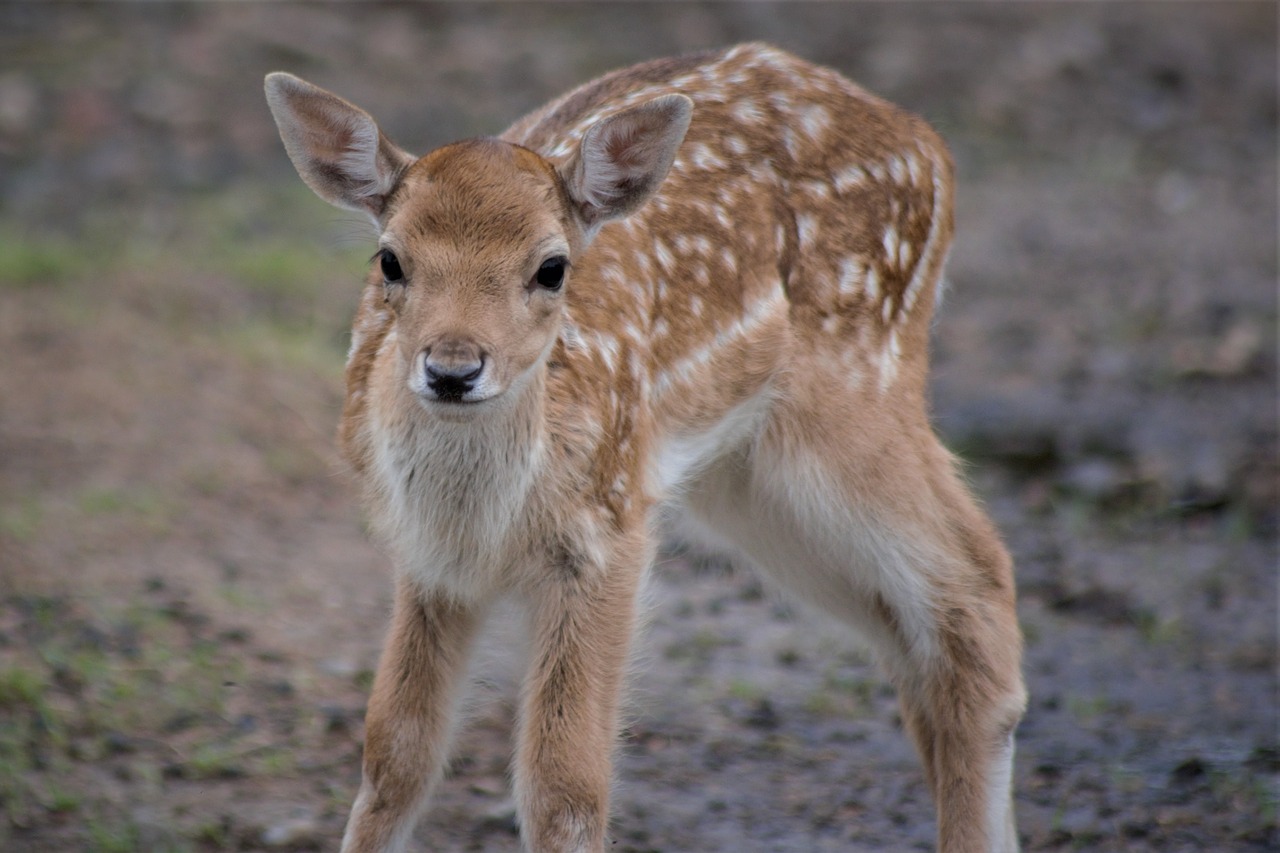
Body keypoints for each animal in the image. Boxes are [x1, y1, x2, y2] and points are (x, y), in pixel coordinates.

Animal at [264, 41, 1024, 850]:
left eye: (551, 268)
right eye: (390, 260)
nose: (452, 369)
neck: (485, 520)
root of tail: (930, 144)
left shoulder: (608, 526)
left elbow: (564, 785)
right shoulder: (428, 560)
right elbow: (393, 757)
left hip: (855, 394)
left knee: (978, 577)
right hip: (749, 482)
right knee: (910, 627)